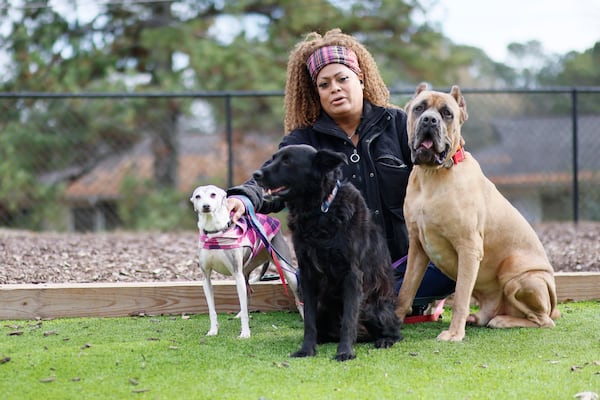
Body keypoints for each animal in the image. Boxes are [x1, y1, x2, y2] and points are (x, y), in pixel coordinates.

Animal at [190, 184, 302, 338]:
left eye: (213, 194)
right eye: (197, 196)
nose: (206, 206)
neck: (216, 232)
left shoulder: (237, 274)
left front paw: (245, 333)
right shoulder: (206, 277)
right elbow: (212, 310)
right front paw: (213, 330)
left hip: (287, 271)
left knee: (298, 297)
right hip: (245, 272)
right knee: (248, 295)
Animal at [251, 145, 400, 362]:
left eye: (287, 161)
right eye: (273, 158)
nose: (256, 174)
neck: (319, 211)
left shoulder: (352, 275)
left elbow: (349, 319)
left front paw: (345, 351)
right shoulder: (307, 274)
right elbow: (308, 321)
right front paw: (306, 349)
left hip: (373, 308)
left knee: (396, 331)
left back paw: (385, 340)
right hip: (322, 304)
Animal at [396, 83, 560, 340]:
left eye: (447, 113)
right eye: (419, 108)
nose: (429, 120)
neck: (432, 175)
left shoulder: (468, 248)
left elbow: (461, 298)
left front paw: (454, 334)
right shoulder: (417, 248)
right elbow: (405, 291)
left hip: (517, 277)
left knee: (543, 320)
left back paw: (502, 320)